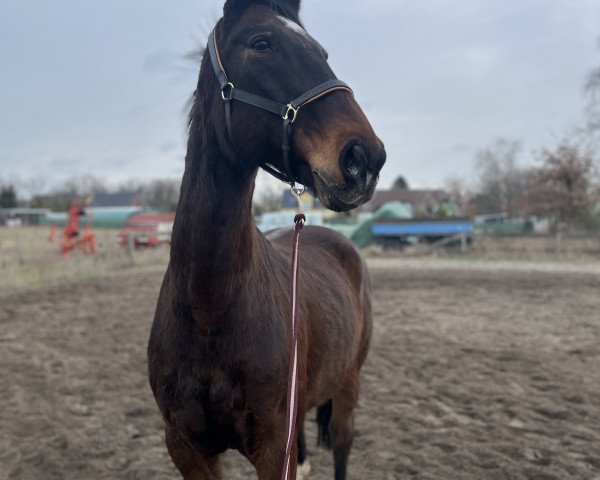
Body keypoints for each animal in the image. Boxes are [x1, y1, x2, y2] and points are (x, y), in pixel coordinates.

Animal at [147, 1, 386, 478]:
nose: (365, 158)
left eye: (323, 52)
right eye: (262, 43)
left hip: (349, 382)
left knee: (343, 443)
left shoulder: (274, 447)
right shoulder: (186, 448)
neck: (208, 309)